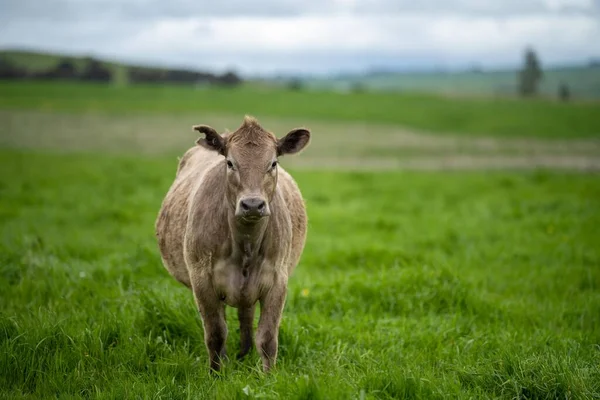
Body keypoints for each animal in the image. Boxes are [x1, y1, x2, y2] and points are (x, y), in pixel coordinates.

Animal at [155, 117, 312, 374]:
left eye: (273, 163)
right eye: (230, 163)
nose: (253, 204)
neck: (245, 245)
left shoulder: (277, 280)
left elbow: (267, 338)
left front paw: (269, 377)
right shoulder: (202, 280)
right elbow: (216, 334)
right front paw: (216, 374)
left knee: (246, 317)